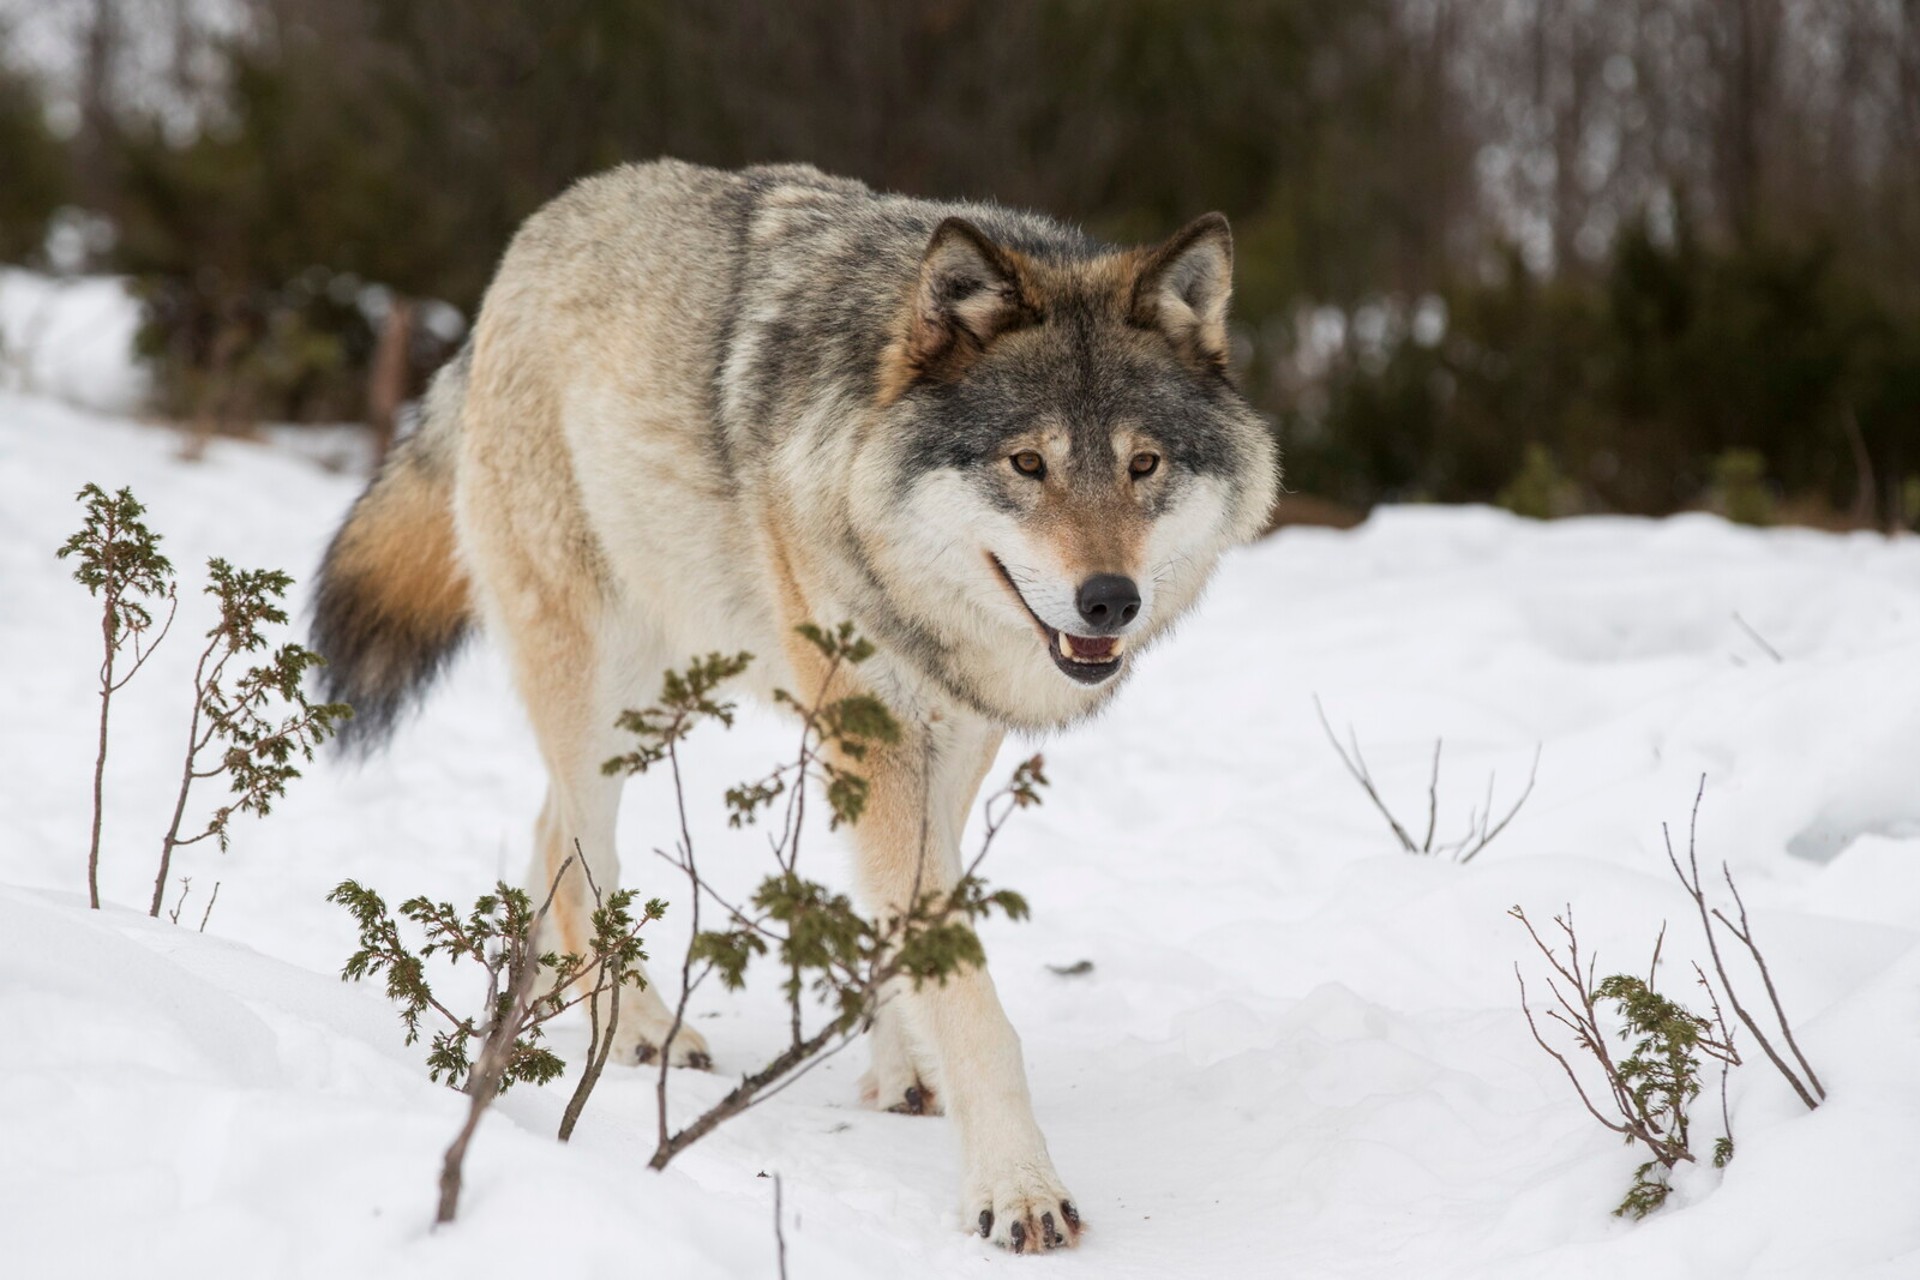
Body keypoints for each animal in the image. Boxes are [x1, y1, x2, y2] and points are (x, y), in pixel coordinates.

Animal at [311, 157, 1274, 1251]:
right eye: (1028, 463)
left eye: (1143, 464)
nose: (1110, 600)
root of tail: (537, 235)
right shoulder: (877, 732)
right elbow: (966, 990)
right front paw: (1019, 1188)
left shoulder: (950, 737)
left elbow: (908, 928)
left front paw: (906, 1069)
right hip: (604, 685)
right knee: (583, 851)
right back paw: (634, 1028)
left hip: (661, 696)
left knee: (548, 830)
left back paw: (535, 1007)